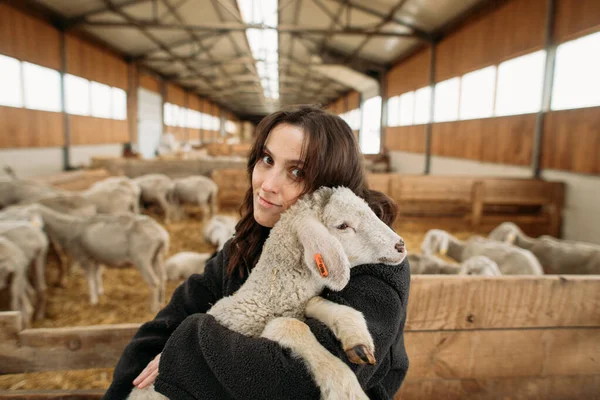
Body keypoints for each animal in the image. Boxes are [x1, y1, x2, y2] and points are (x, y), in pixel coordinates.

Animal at [31, 205, 170, 310]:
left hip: (142, 258)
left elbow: (90, 278)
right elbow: (97, 275)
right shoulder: (95, 257)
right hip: (156, 256)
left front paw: (93, 300)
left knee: (154, 282)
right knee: (162, 278)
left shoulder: (83, 256)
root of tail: (161, 235)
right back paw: (161, 302)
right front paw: (100, 292)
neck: (68, 228)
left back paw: (152, 308)